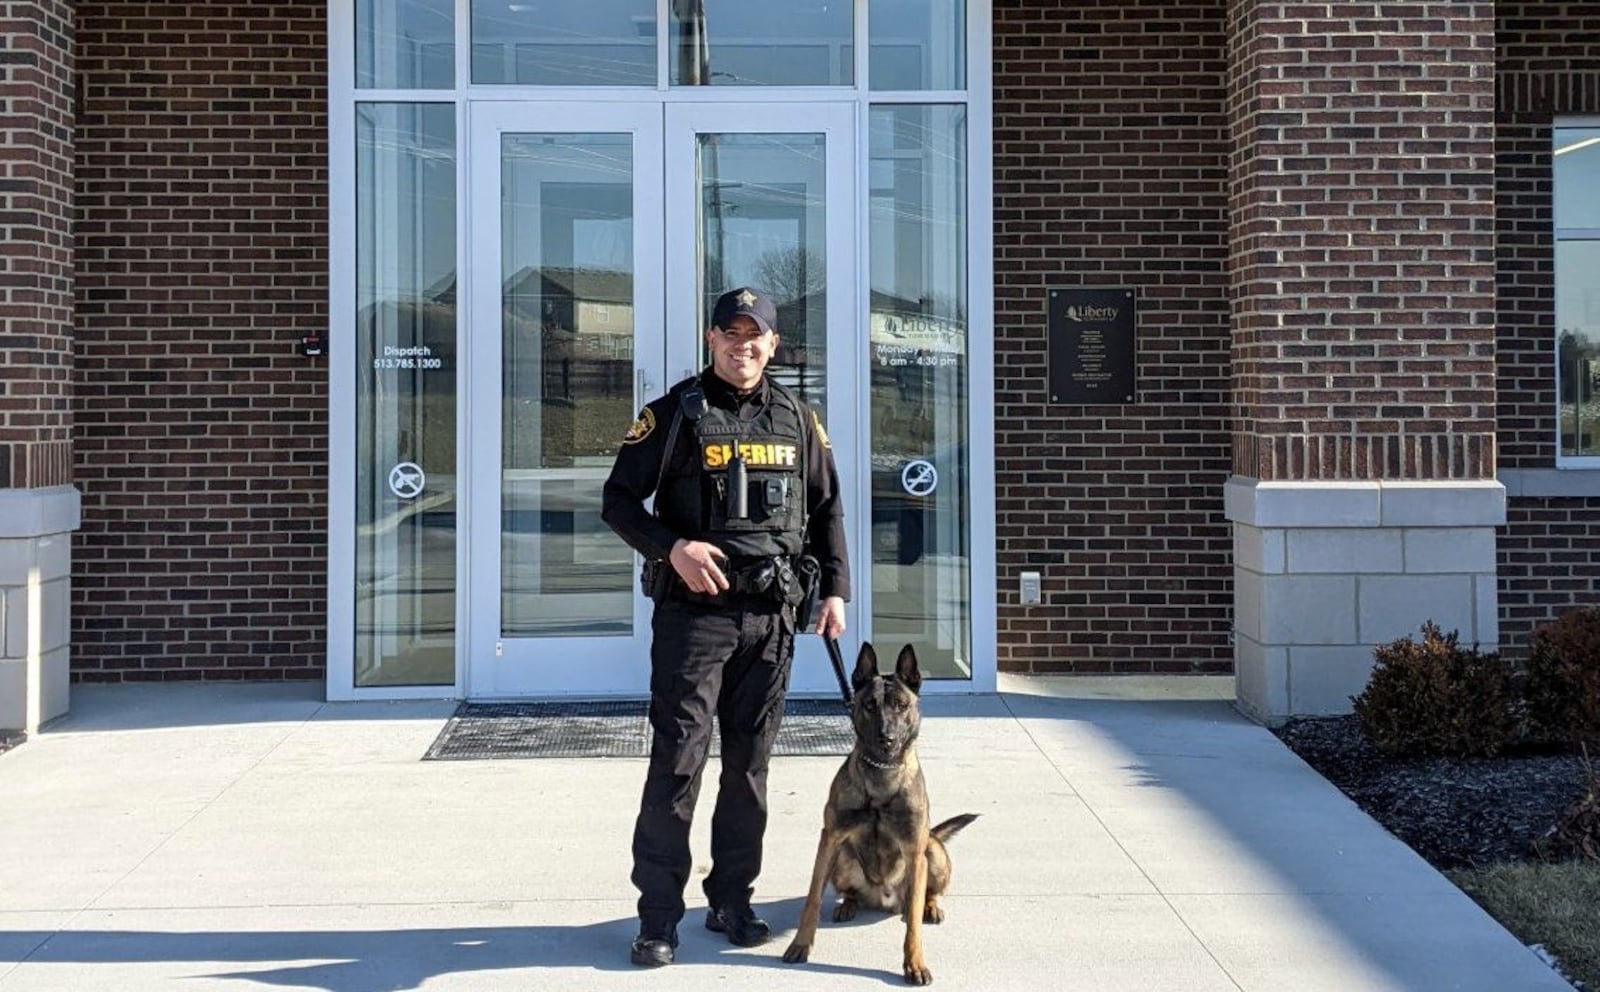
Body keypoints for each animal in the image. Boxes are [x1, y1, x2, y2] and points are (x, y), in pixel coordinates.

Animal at [784, 643, 972, 985]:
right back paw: (848, 905)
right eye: (870, 705)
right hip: (843, 857)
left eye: (900, 705)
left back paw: (931, 907)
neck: (881, 774)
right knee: (850, 892)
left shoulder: (914, 850)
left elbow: (913, 925)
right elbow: (812, 898)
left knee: (926, 895)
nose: (886, 737)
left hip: (932, 850)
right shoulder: (830, 839)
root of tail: (883, 899)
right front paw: (800, 944)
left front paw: (915, 963)